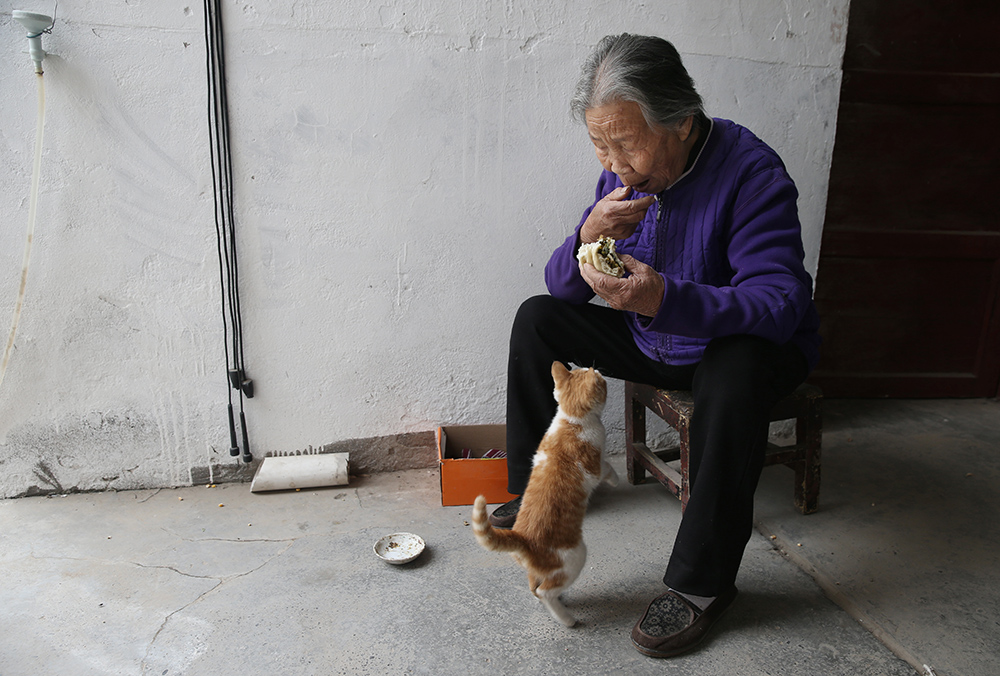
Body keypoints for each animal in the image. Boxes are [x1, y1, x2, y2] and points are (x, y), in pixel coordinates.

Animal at [470, 362, 616, 624]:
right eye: (601, 380)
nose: (598, 369)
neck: (571, 419)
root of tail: (523, 539)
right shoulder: (595, 467)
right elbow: (608, 467)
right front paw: (617, 479)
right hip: (575, 558)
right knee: (545, 591)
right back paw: (567, 620)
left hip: (538, 570)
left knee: (535, 588)